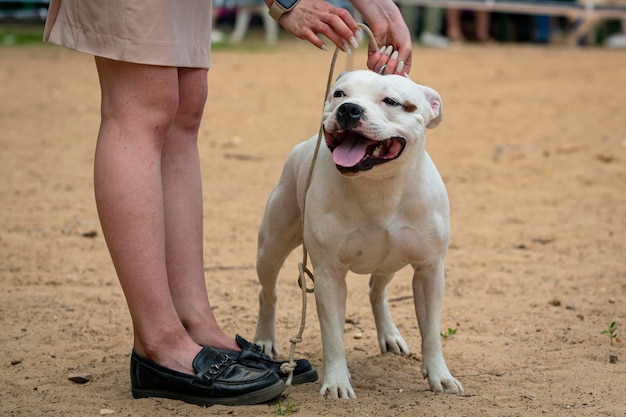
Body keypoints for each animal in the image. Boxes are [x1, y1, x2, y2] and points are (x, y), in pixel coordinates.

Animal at [254, 70, 464, 398]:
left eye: (391, 101)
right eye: (339, 93)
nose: (348, 109)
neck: (379, 187)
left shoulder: (429, 270)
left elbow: (430, 332)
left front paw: (440, 376)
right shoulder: (328, 274)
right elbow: (332, 336)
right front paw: (337, 383)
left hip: (389, 263)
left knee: (377, 291)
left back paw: (389, 335)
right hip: (271, 247)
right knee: (268, 292)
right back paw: (264, 339)